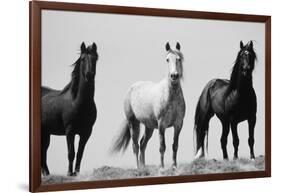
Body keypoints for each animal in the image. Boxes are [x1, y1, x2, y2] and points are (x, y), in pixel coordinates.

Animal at [41, 42, 98, 176]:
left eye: (95, 59)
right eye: (83, 59)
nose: (89, 75)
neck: (77, 102)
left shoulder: (86, 132)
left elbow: (80, 154)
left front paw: (76, 173)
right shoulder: (70, 131)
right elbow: (71, 153)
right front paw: (69, 173)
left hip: (46, 133)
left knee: (44, 152)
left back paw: (47, 174)